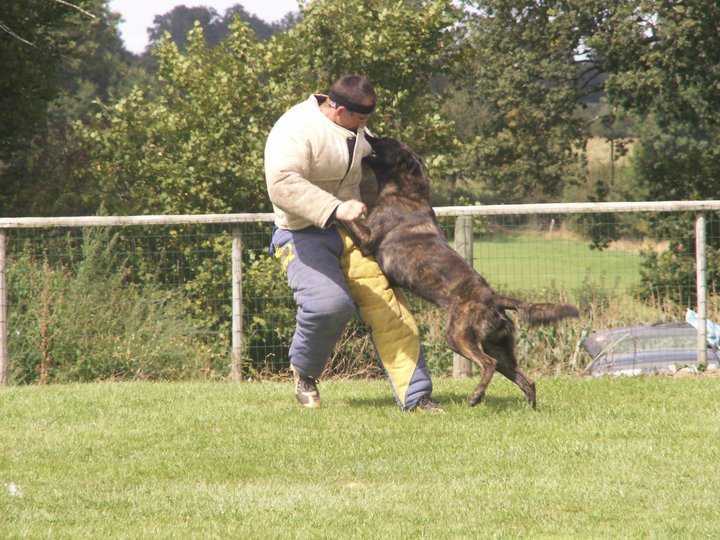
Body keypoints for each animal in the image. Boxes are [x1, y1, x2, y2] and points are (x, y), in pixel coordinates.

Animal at [344, 136, 580, 410]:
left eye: (387, 141)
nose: (366, 136)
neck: (406, 192)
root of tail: (495, 299)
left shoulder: (367, 238)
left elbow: (347, 220)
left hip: (458, 336)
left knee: (488, 364)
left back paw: (476, 397)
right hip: (498, 346)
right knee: (525, 379)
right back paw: (528, 408)